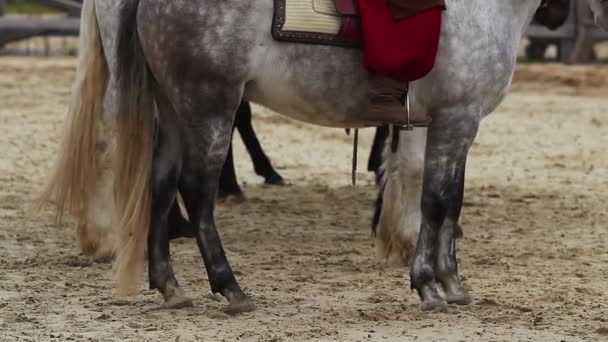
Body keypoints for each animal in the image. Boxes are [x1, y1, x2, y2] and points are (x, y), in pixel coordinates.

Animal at [40, 0, 604, 312]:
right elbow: (436, 200)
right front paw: (428, 283)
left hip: (175, 109)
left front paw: (450, 280)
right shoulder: (454, 118)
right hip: (209, 104)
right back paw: (229, 287)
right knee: (195, 191)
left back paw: (170, 286)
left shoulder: (450, 124)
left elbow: (447, 200)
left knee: (159, 183)